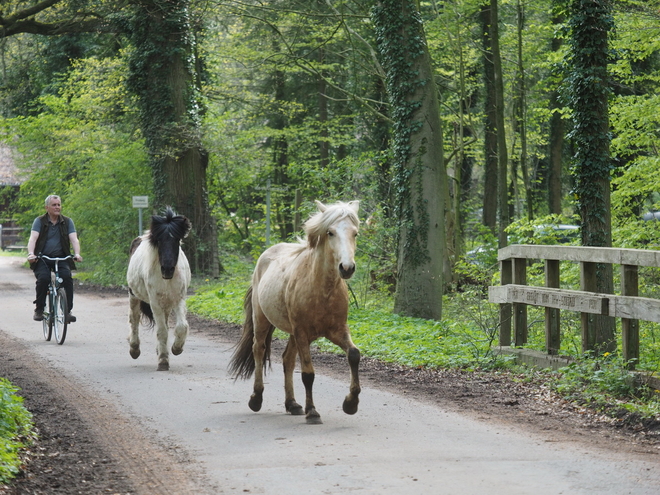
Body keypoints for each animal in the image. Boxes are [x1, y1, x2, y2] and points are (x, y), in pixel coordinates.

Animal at [126, 206, 192, 372]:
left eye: (176, 240)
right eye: (159, 240)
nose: (167, 269)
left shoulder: (179, 298)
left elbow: (181, 326)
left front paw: (176, 348)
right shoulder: (154, 302)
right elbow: (161, 331)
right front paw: (163, 361)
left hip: (166, 303)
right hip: (134, 295)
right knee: (134, 318)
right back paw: (134, 349)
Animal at [227, 200, 360, 424]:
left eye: (355, 233)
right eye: (330, 232)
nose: (347, 268)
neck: (321, 288)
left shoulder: (337, 331)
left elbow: (354, 354)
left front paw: (351, 403)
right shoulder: (302, 332)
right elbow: (308, 373)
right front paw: (312, 412)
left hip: (295, 334)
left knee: (287, 359)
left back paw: (292, 404)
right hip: (263, 320)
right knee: (258, 349)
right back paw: (256, 398)